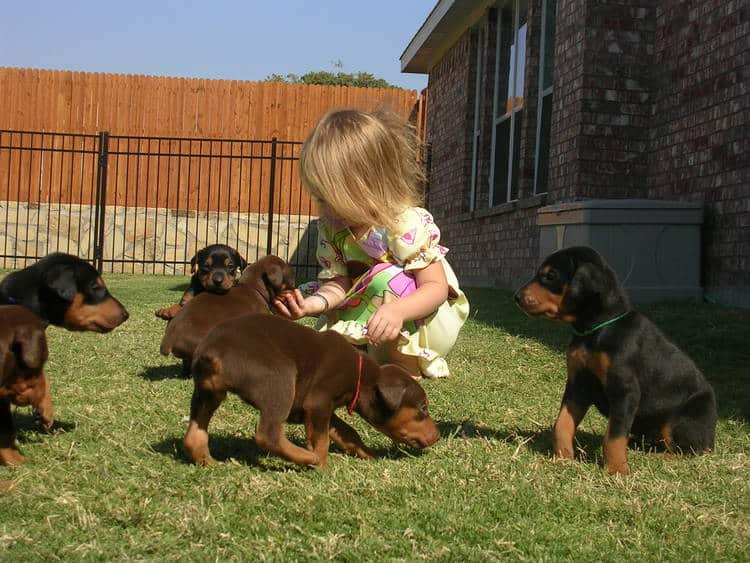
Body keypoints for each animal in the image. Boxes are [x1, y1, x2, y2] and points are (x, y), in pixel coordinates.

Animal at [184, 316, 440, 470]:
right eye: (423, 408)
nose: (438, 436)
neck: (360, 375)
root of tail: (211, 352)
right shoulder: (318, 403)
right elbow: (322, 441)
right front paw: (322, 468)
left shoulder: (323, 409)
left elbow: (347, 432)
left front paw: (368, 455)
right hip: (280, 378)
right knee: (268, 434)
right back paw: (307, 458)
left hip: (207, 394)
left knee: (194, 434)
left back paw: (208, 462)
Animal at [516, 249, 716, 474]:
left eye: (551, 275)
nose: (517, 297)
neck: (596, 329)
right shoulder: (577, 385)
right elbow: (562, 423)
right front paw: (562, 458)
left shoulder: (624, 391)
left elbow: (614, 435)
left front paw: (617, 470)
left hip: (682, 419)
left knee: (692, 449)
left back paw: (658, 457)